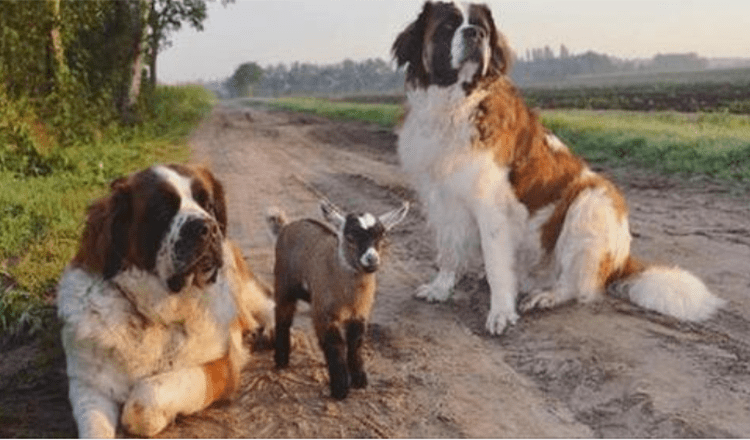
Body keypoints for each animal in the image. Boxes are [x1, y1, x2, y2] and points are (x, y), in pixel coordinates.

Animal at [57, 164, 276, 436]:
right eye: (162, 210)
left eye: (208, 204)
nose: (208, 227)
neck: (154, 313)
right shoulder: (87, 384)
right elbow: (94, 423)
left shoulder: (222, 365)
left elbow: (145, 398)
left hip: (241, 284)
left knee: (265, 302)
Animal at [268, 201, 412, 400]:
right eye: (350, 236)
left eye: (382, 235)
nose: (372, 259)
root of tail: (286, 226)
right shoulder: (324, 313)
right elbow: (335, 345)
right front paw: (340, 388)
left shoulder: (360, 313)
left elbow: (355, 343)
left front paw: (360, 380)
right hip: (283, 282)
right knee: (283, 318)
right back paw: (281, 360)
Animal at [396, 1, 724, 336]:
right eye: (448, 26)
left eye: (482, 28)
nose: (475, 34)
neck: (455, 105)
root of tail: (622, 259)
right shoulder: (441, 195)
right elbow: (449, 250)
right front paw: (441, 288)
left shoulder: (491, 205)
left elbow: (497, 265)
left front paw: (501, 312)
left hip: (590, 203)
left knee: (576, 285)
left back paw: (547, 296)